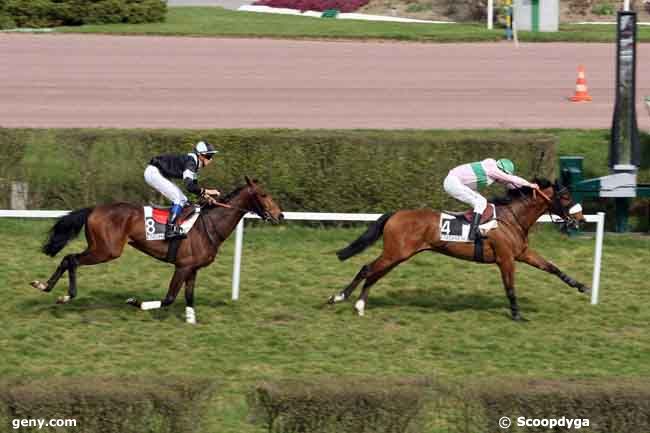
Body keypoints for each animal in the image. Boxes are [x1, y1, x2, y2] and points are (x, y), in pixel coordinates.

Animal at [31, 177, 280, 322]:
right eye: (264, 195)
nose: (279, 215)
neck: (209, 225)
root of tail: (94, 209)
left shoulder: (193, 268)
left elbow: (189, 296)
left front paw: (191, 320)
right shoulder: (182, 266)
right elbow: (169, 298)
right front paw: (135, 302)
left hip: (100, 248)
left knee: (67, 259)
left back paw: (44, 286)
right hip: (106, 250)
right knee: (72, 259)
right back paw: (65, 295)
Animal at [330, 177, 588, 318]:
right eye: (566, 197)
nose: (580, 218)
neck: (512, 218)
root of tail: (396, 214)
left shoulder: (522, 253)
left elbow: (552, 267)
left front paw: (581, 285)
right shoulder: (505, 258)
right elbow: (510, 287)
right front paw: (516, 314)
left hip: (398, 255)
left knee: (374, 274)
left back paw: (360, 305)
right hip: (395, 253)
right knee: (367, 269)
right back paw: (339, 296)